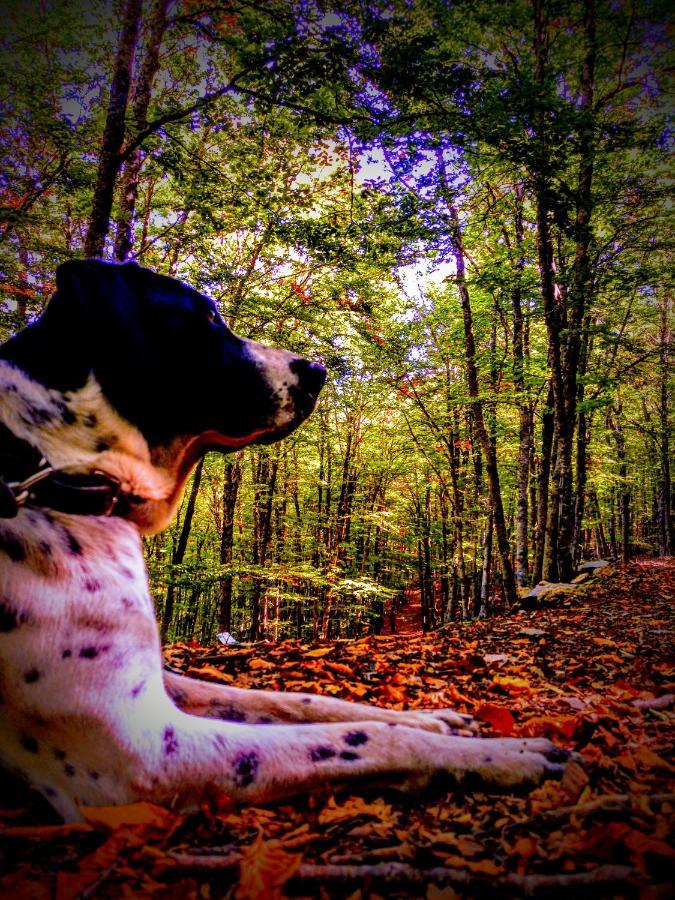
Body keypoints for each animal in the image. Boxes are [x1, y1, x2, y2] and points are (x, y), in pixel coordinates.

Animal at [0, 260, 572, 824]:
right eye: (206, 318)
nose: (318, 370)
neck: (54, 470)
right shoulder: (141, 751)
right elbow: (359, 737)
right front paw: (500, 753)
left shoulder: (167, 683)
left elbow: (305, 702)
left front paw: (434, 719)